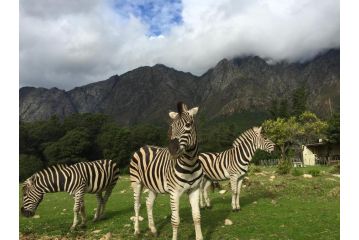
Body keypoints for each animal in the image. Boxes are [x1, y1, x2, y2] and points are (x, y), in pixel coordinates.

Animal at [130, 101, 204, 240]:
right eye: (172, 127)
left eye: (188, 125)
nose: (172, 150)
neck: (190, 164)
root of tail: (144, 146)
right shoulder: (174, 192)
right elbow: (175, 221)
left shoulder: (195, 189)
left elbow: (197, 217)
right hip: (136, 182)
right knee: (137, 205)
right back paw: (137, 231)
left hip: (153, 186)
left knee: (148, 203)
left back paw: (153, 229)